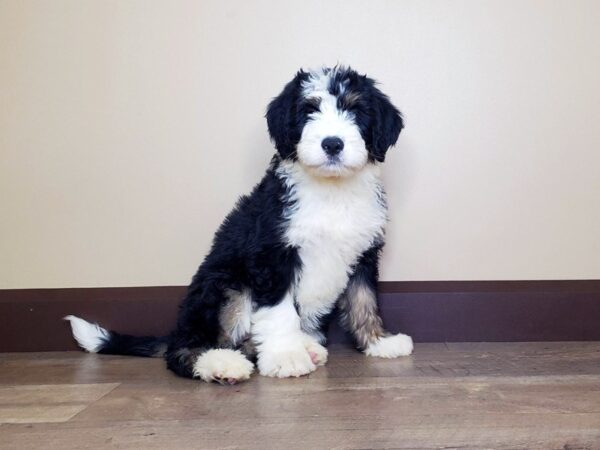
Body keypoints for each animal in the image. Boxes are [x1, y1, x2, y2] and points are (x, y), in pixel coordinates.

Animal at [65, 66, 412, 384]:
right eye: (308, 111)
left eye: (355, 110)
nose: (332, 144)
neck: (331, 191)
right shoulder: (272, 255)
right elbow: (280, 311)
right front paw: (286, 357)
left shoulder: (364, 252)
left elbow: (364, 300)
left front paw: (380, 342)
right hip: (224, 285)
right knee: (186, 350)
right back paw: (221, 364)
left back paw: (302, 347)